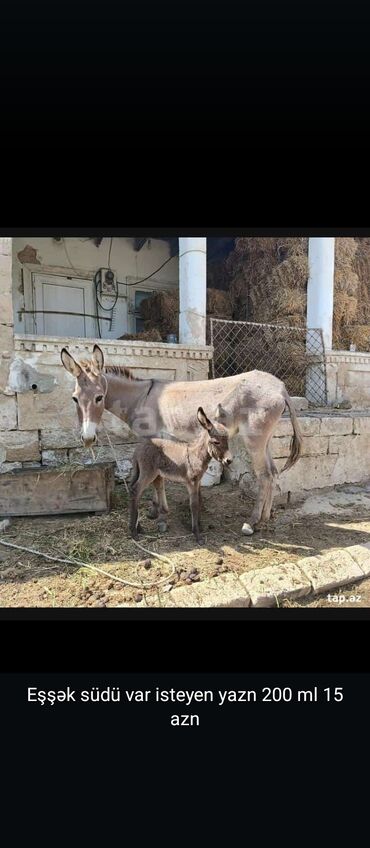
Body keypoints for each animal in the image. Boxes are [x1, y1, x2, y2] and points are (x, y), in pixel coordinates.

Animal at [129, 406, 231, 544]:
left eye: (227, 440)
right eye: (216, 442)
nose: (229, 461)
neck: (196, 455)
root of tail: (137, 449)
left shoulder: (198, 481)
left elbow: (199, 501)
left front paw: (200, 526)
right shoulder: (191, 482)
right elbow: (194, 504)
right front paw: (197, 534)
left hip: (147, 473)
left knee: (133, 489)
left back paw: (138, 527)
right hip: (148, 473)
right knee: (136, 491)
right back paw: (134, 532)